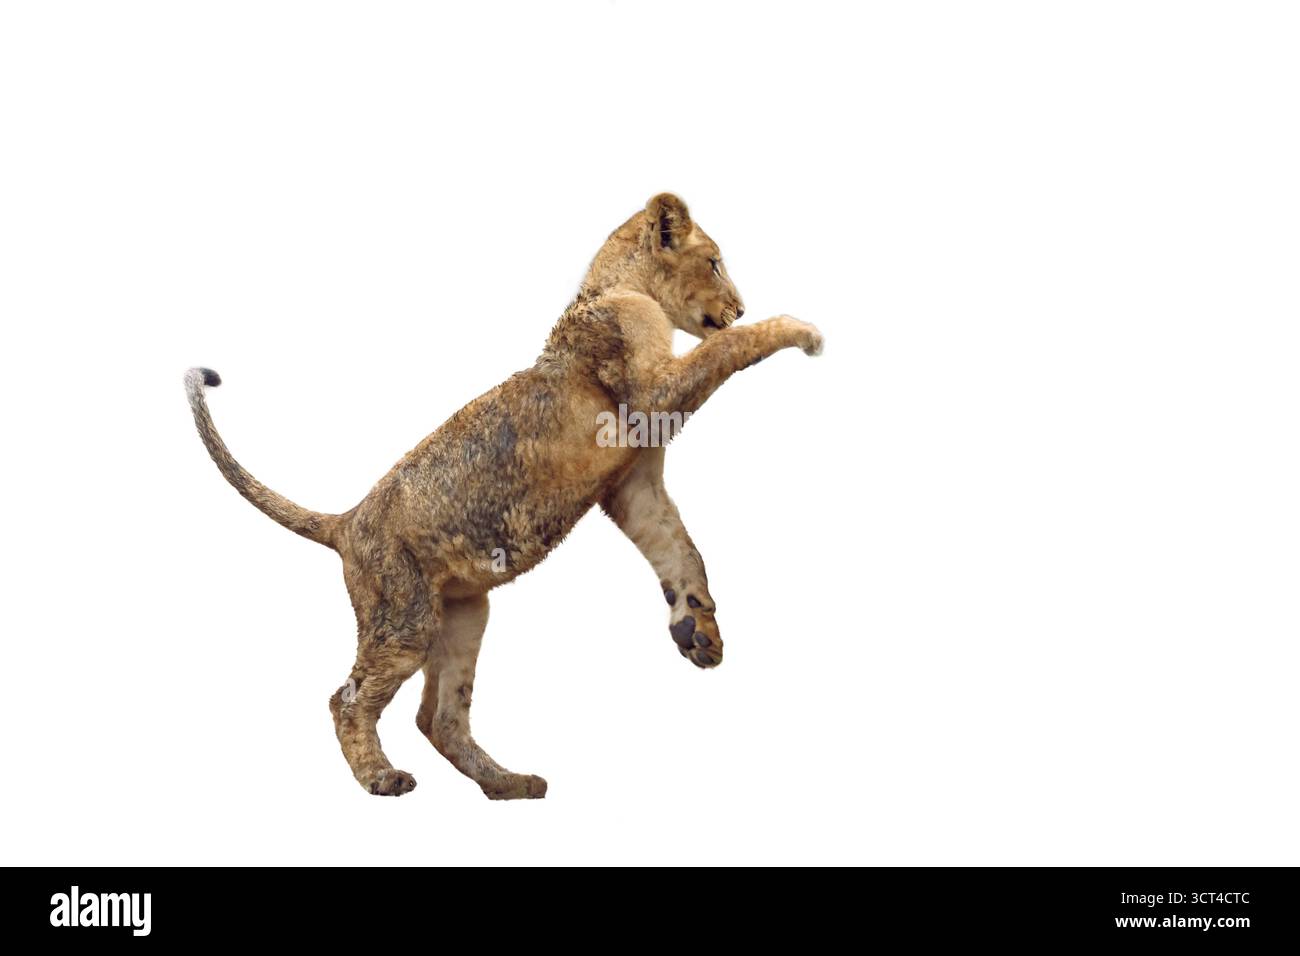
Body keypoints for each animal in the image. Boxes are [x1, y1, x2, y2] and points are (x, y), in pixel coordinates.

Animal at [185, 193, 823, 799]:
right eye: (713, 262)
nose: (740, 305)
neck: (618, 287)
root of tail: (346, 521)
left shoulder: (633, 483)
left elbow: (680, 549)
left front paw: (697, 630)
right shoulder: (652, 393)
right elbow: (729, 348)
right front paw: (800, 328)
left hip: (465, 615)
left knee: (439, 718)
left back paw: (509, 785)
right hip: (404, 616)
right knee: (346, 698)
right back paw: (383, 778)